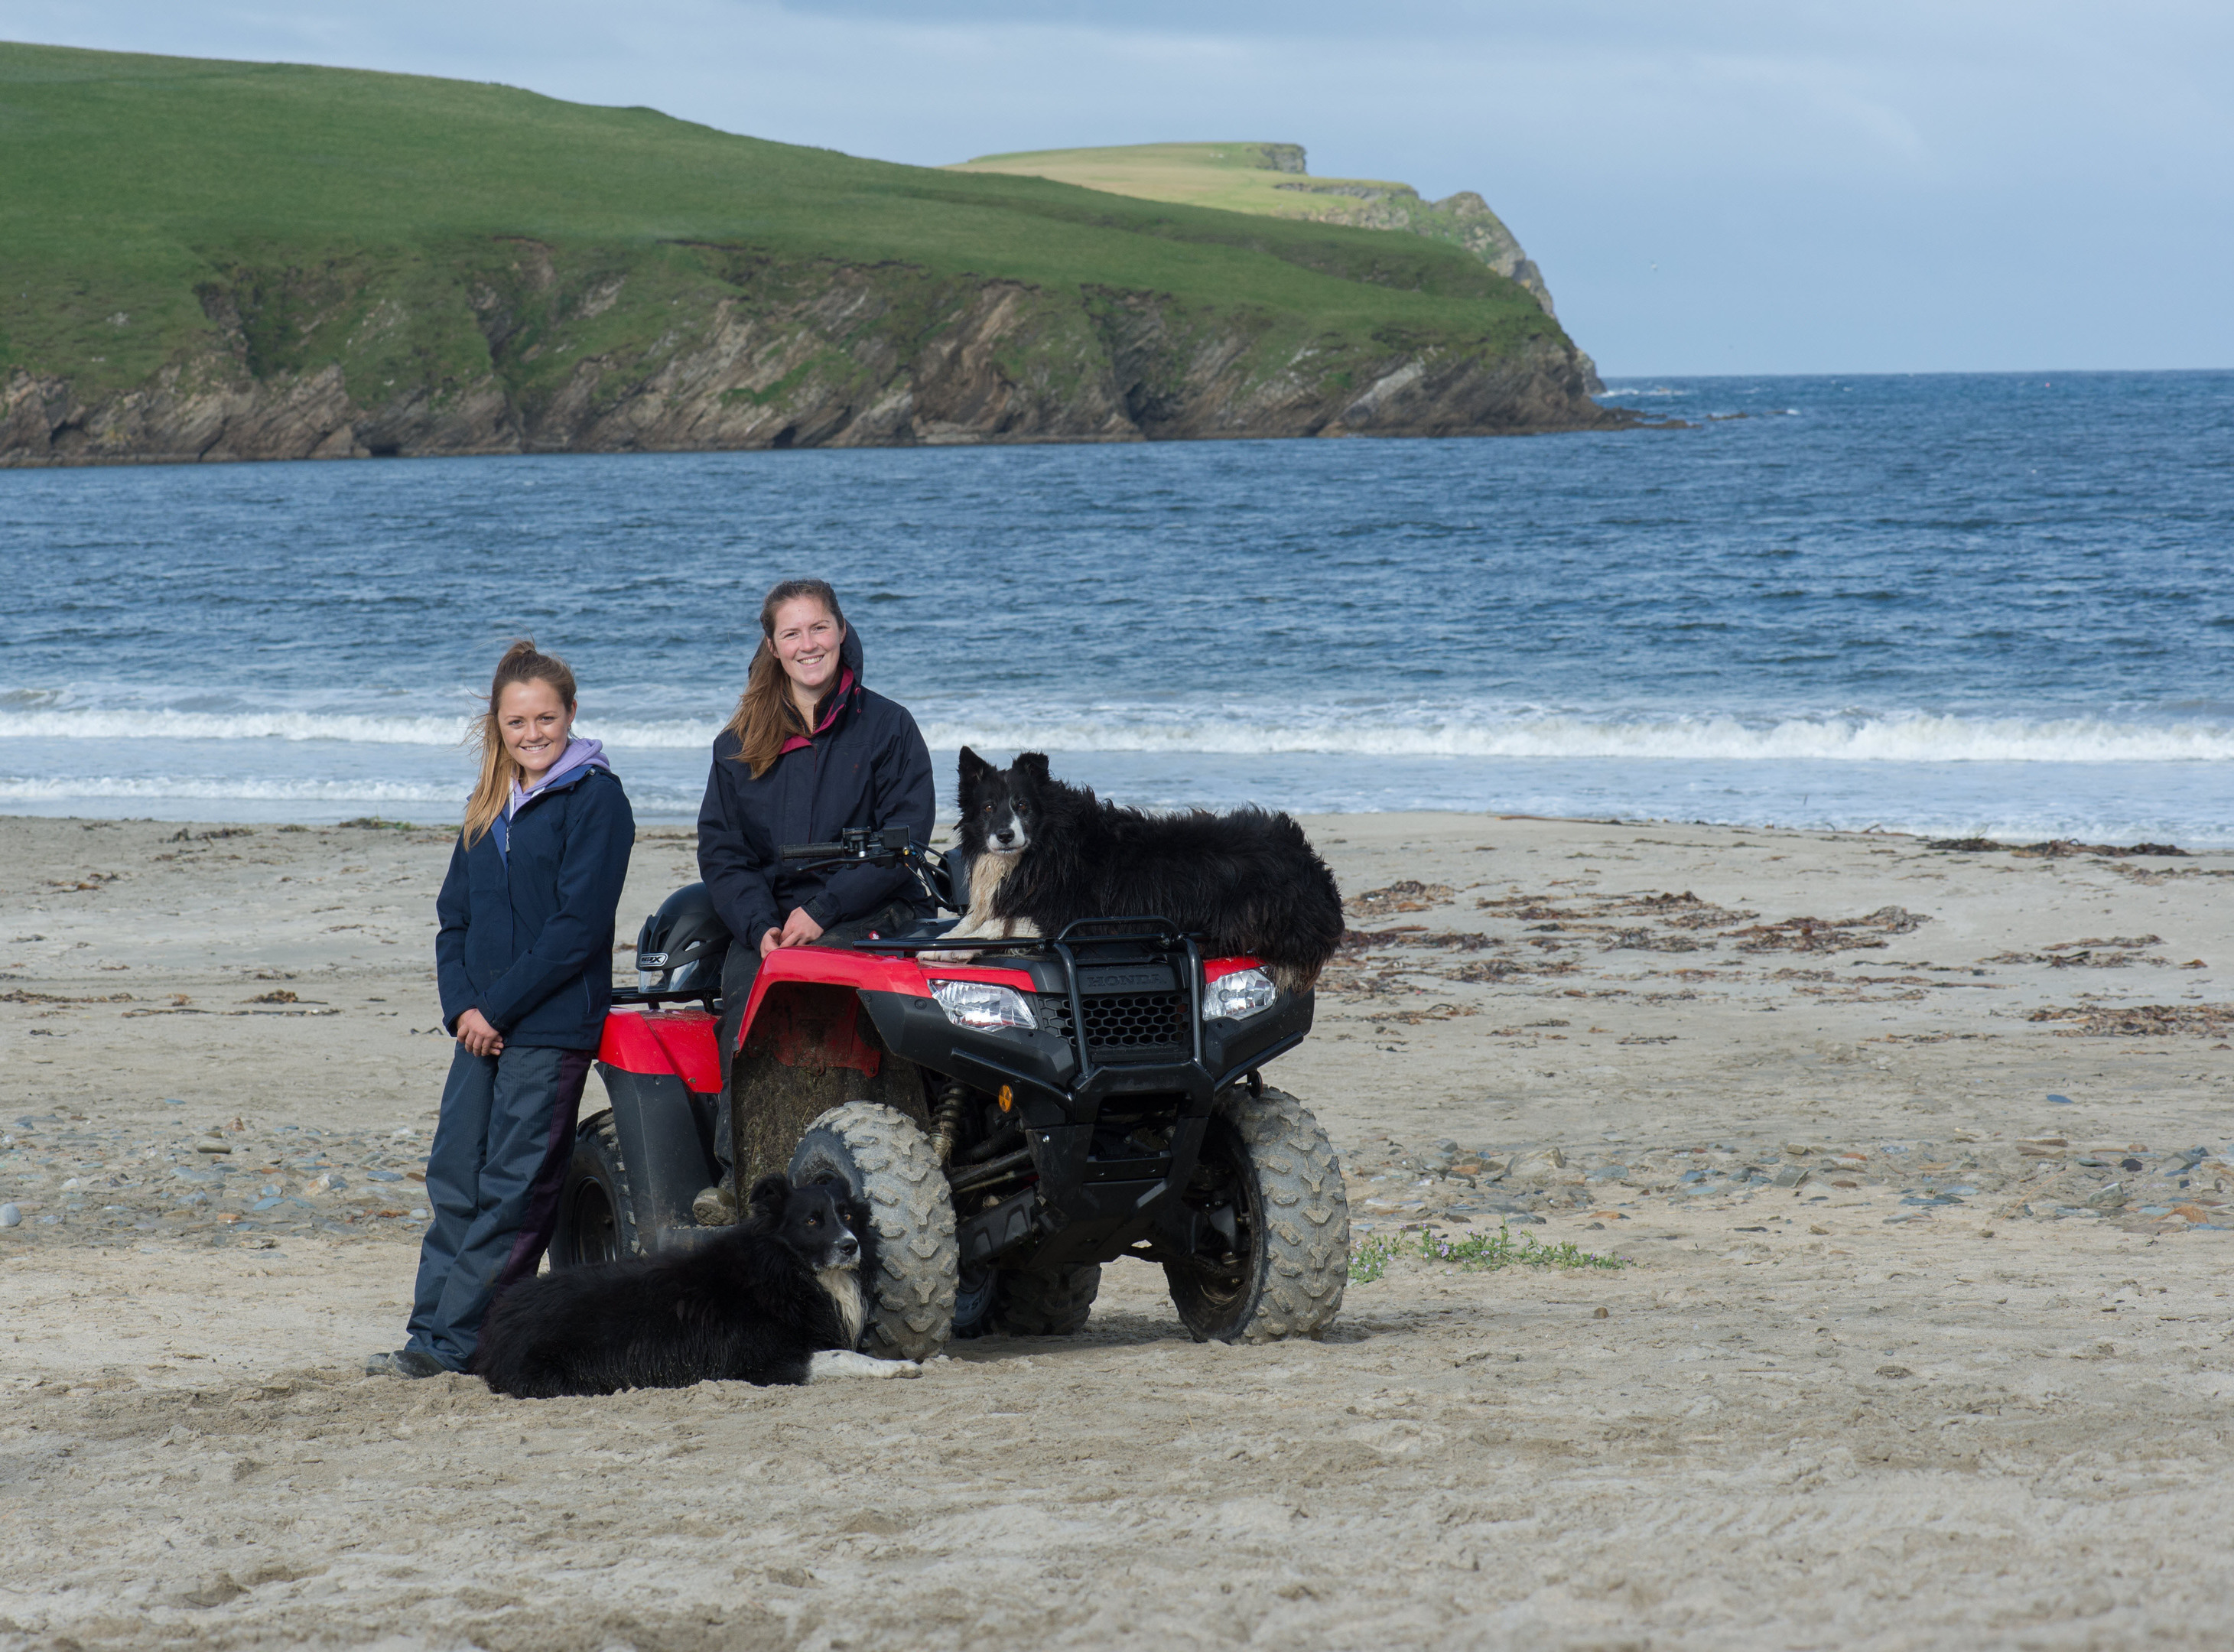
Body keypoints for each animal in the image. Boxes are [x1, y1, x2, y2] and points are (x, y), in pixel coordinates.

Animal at [471, 1180, 925, 1394]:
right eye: (812, 1221)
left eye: (846, 1214)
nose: (850, 1246)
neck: (784, 1268)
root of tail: (499, 1316)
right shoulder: (761, 1364)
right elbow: (842, 1356)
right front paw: (899, 1367)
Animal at [925, 751, 1340, 997]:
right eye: (988, 807)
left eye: (1023, 806)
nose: (1005, 836)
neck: (1044, 848)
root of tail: (1308, 862)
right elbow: (975, 922)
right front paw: (948, 938)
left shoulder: (1075, 917)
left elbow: (1001, 927)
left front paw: (953, 950)